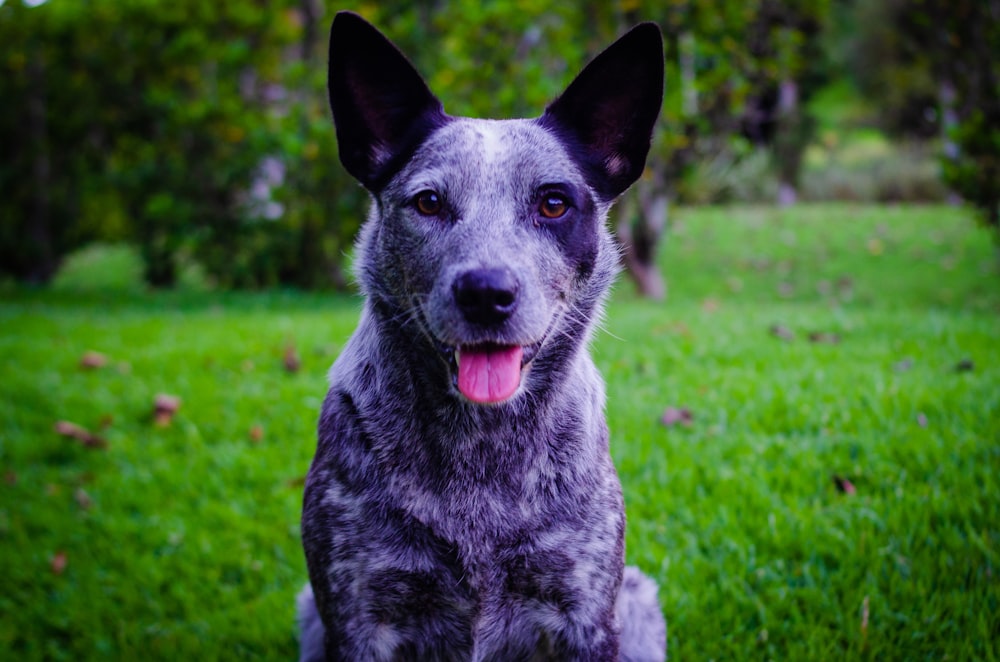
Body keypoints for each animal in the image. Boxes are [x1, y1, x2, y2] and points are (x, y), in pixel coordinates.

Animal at [300, 11, 668, 662]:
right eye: (428, 202)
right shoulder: (357, 615)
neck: (482, 444)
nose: (486, 293)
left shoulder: (586, 613)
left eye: (554, 203)